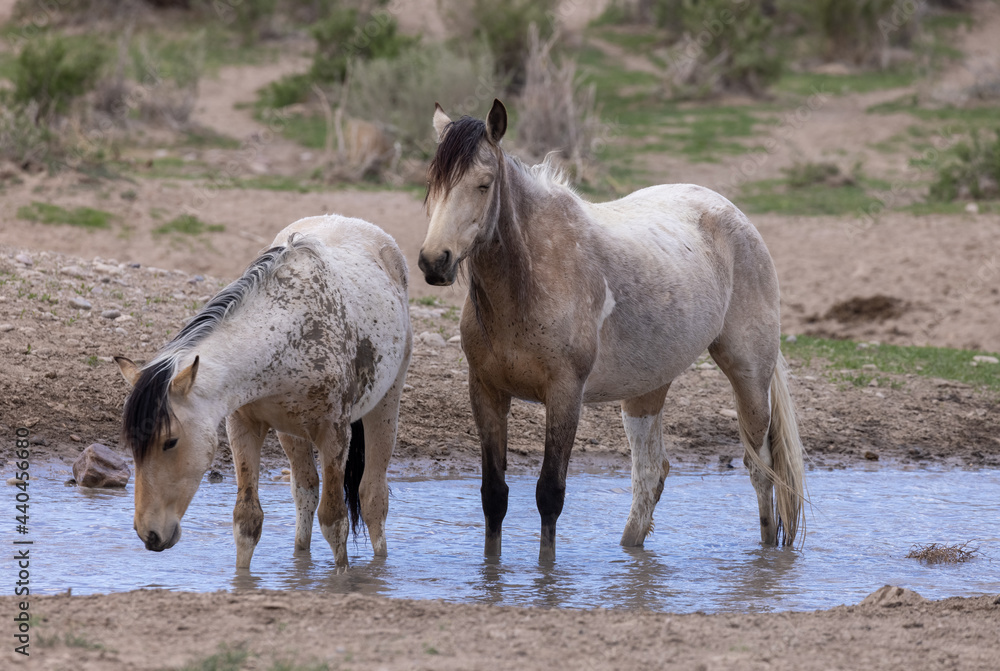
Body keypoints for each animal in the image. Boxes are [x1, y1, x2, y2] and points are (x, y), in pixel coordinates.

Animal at [115, 215, 412, 569]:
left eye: (170, 441)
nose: (150, 534)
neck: (289, 331)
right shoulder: (243, 427)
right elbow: (247, 520)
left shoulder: (335, 435)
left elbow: (334, 521)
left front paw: (341, 576)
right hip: (291, 432)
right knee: (305, 491)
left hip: (386, 406)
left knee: (372, 497)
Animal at [418, 99, 806, 561]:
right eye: (433, 183)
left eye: (483, 184)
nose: (434, 261)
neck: (529, 281)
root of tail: (735, 216)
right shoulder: (486, 392)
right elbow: (494, 496)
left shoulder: (565, 395)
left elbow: (549, 494)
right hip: (646, 391)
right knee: (650, 474)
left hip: (749, 378)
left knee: (761, 471)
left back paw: (766, 556)